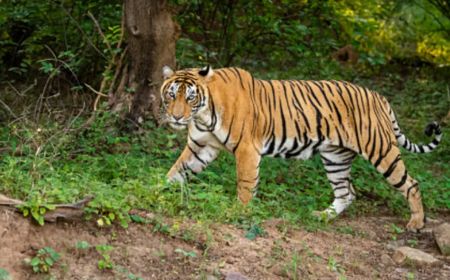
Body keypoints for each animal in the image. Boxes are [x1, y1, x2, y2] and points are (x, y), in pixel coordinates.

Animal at [160, 65, 442, 230]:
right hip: (335, 157)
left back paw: (416, 222)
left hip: (381, 150)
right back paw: (322, 216)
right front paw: (157, 192)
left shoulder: (247, 150)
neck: (203, 114)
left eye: (190, 97)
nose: (176, 117)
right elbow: (175, 172)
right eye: (172, 94)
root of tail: (379, 97)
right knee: (347, 192)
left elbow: (245, 185)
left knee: (411, 183)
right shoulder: (201, 147)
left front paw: (238, 211)